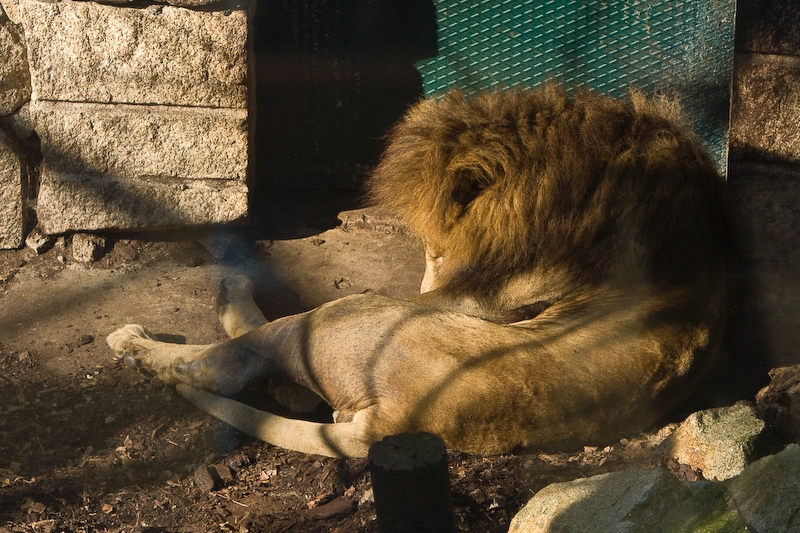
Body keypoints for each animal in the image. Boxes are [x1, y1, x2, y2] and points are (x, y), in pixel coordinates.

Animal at [107, 85, 729, 458]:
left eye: (433, 248)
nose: (431, 272)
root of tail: (393, 424)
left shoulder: (480, 293)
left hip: (351, 313)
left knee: (226, 363)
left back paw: (148, 337)